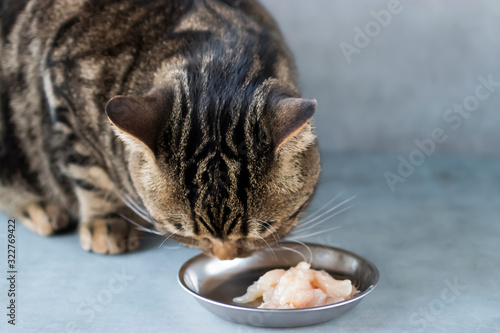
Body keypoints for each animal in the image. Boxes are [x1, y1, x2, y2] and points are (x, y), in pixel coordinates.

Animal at [0, 0, 320, 260]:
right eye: (184, 232)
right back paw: (40, 208)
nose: (225, 257)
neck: (223, 62)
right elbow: (90, 173)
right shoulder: (64, 92)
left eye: (262, 231)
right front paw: (108, 219)